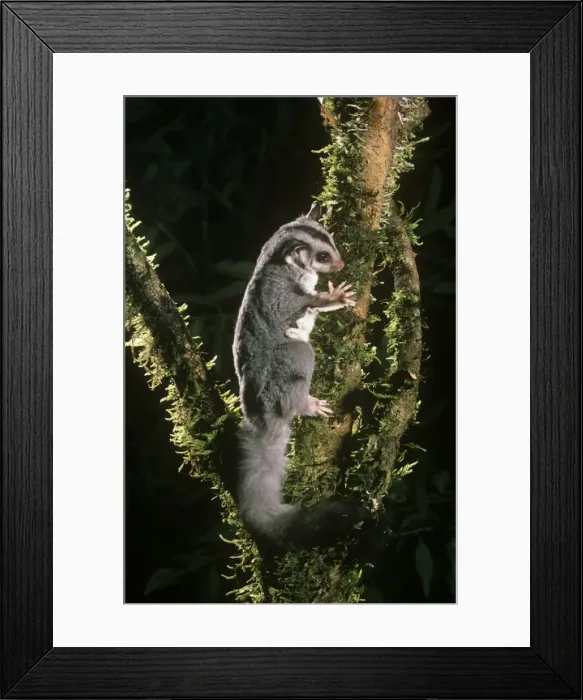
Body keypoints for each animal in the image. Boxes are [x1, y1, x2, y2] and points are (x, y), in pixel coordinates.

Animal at [232, 201, 369, 552]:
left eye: (332, 242)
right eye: (322, 256)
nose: (341, 263)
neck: (279, 263)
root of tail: (263, 419)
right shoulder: (281, 295)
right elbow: (305, 304)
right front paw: (334, 297)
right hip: (286, 368)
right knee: (301, 353)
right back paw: (306, 405)